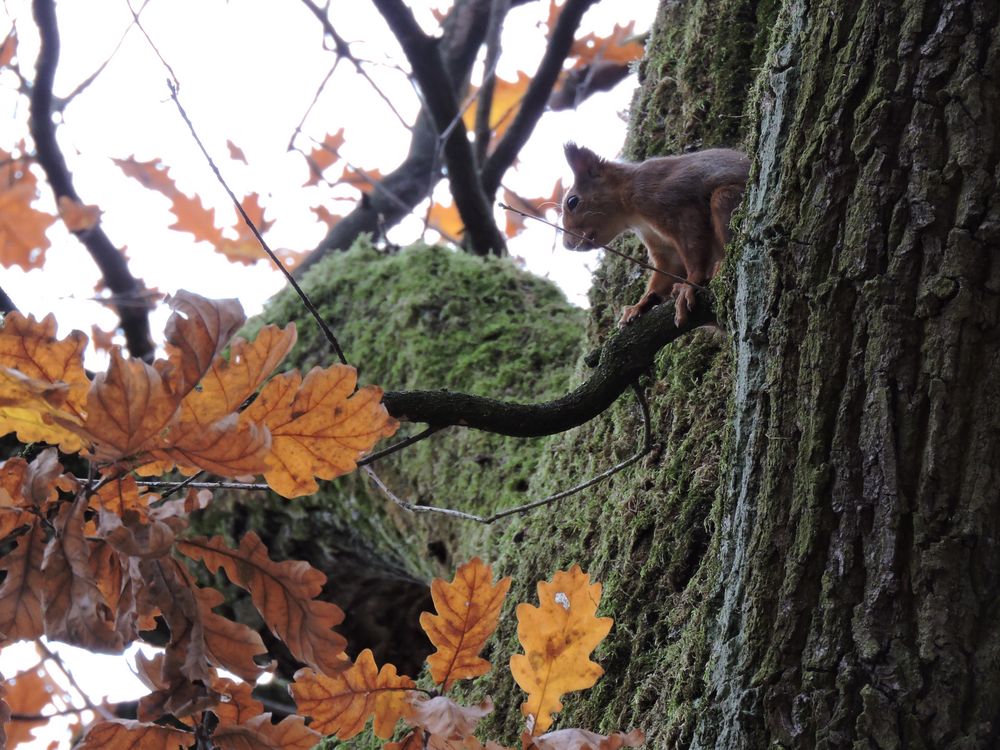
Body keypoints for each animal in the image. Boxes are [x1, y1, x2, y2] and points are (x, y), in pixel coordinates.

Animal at [560, 144, 748, 326]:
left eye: (572, 201)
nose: (566, 245)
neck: (632, 214)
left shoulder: (678, 206)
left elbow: (694, 246)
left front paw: (690, 284)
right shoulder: (656, 241)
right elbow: (667, 270)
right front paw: (638, 306)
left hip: (726, 199)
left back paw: (719, 266)